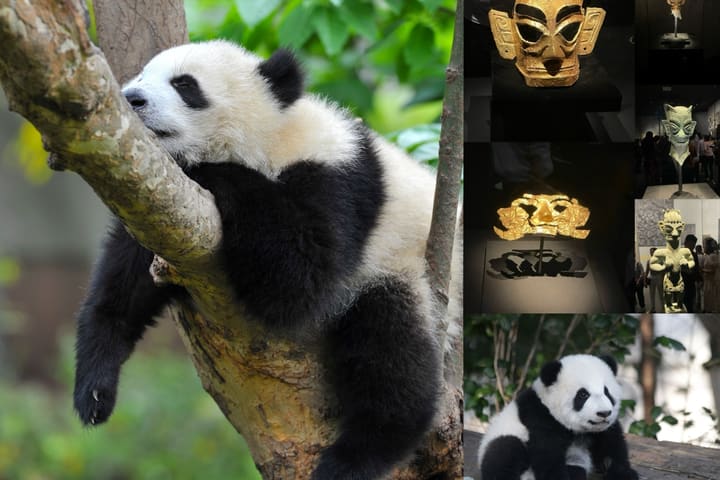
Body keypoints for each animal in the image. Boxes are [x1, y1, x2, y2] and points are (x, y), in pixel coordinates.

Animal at [72, 40, 460, 480]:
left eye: (185, 84)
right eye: (141, 75)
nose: (132, 98)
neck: (267, 137)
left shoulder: (339, 180)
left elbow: (301, 279)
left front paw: (210, 171)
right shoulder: (159, 206)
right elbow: (126, 280)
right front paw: (95, 388)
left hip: (405, 268)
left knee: (391, 349)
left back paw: (357, 455)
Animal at [477, 354, 638, 480]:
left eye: (607, 392)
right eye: (583, 394)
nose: (604, 413)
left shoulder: (602, 429)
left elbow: (613, 444)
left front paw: (623, 473)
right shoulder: (540, 417)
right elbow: (547, 454)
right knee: (504, 450)